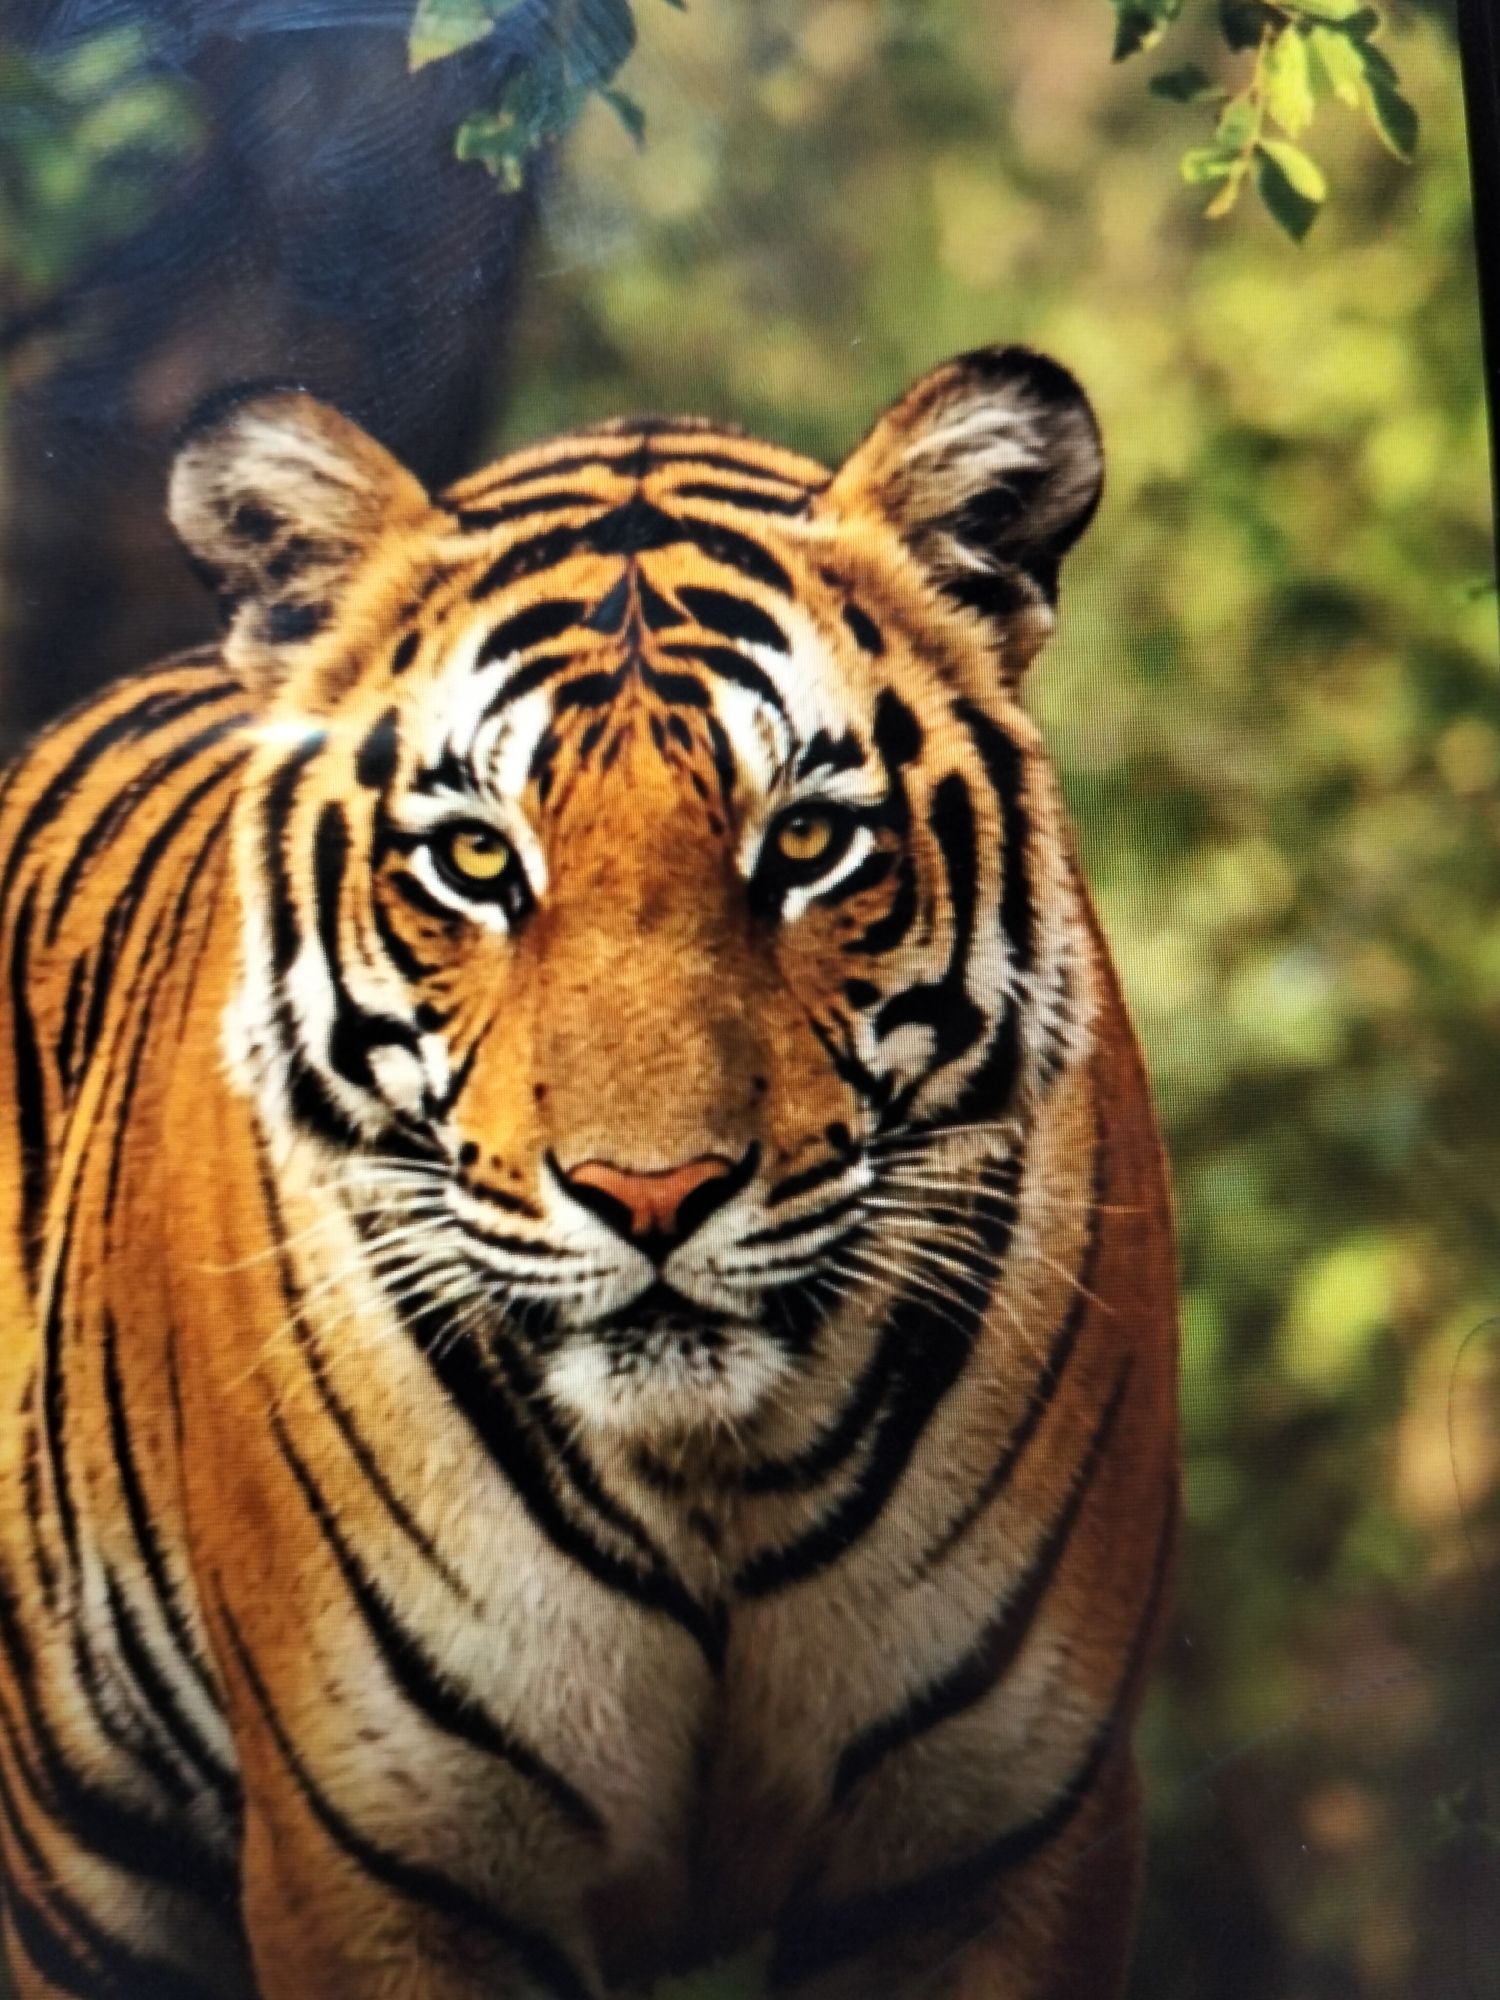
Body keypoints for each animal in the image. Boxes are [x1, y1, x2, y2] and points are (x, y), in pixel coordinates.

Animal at [0, 344, 1177, 2000]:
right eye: (479, 861)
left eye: (806, 844)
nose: (654, 1198)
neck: (713, 1483)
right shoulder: (388, 1865)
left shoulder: (999, 1842)